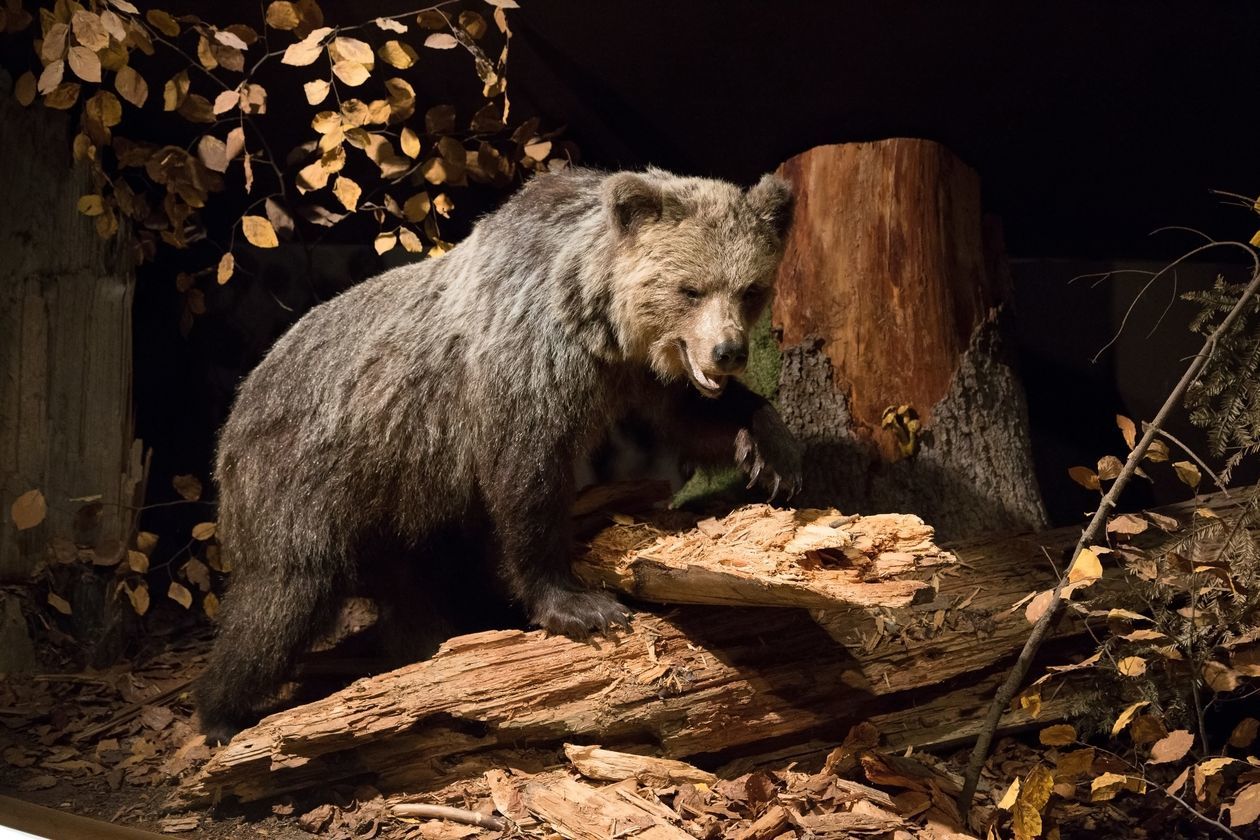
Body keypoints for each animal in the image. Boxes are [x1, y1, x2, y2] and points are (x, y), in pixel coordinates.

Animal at [194, 166, 806, 740]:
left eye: (750, 288)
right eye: (690, 289)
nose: (727, 351)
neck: (594, 320)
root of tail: (235, 414)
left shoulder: (635, 374)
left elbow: (688, 416)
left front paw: (774, 456)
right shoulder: (521, 372)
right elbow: (526, 484)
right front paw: (581, 606)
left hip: (398, 505)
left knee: (410, 587)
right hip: (304, 480)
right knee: (281, 599)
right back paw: (221, 713)